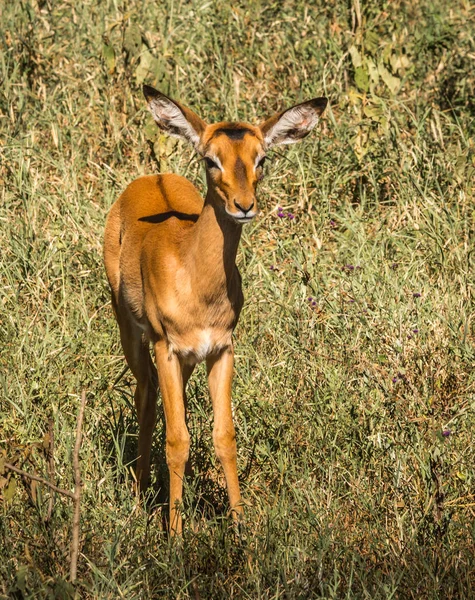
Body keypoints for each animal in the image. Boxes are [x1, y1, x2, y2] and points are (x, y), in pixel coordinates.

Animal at [103, 85, 328, 536]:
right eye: (211, 159)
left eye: (262, 158)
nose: (244, 205)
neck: (196, 278)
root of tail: (149, 178)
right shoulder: (166, 347)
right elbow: (177, 440)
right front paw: (174, 534)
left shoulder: (221, 349)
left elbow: (224, 436)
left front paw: (240, 526)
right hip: (132, 335)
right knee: (146, 397)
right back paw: (139, 497)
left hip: (188, 360)